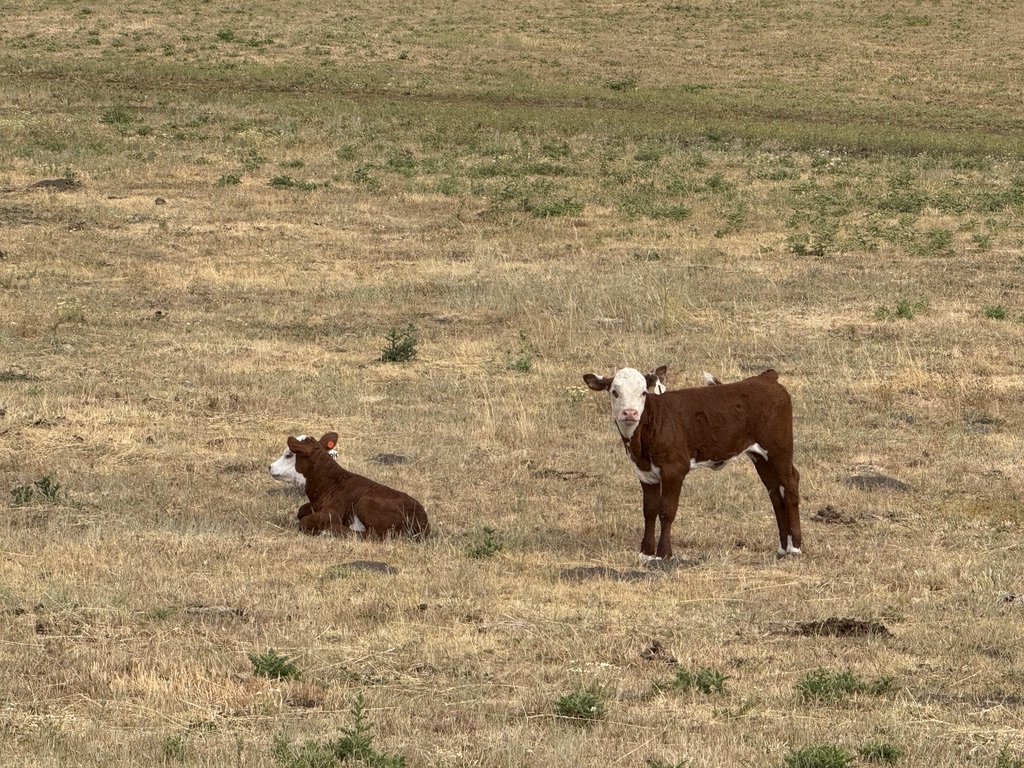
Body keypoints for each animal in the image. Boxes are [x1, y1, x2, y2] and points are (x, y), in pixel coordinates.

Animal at [583, 366, 801, 560]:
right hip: (760, 456)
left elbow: (666, 511)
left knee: (790, 484)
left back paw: (795, 548)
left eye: (643, 392)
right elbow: (649, 511)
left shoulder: (674, 469)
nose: (630, 413)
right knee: (775, 492)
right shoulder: (645, 473)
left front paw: (663, 553)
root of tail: (765, 378)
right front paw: (646, 552)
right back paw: (783, 548)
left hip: (778, 449)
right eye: (614, 392)